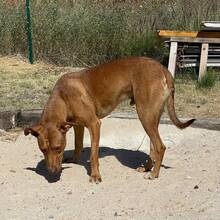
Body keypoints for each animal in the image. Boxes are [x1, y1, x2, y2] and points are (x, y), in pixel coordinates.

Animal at [24, 56, 195, 182]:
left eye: (58, 148)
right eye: (43, 150)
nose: (52, 172)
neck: (61, 96)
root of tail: (163, 69)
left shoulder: (94, 124)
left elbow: (93, 154)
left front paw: (95, 175)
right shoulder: (78, 125)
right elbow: (78, 144)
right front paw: (74, 159)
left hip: (144, 114)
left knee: (160, 146)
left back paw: (153, 174)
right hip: (151, 117)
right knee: (153, 146)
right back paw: (147, 168)